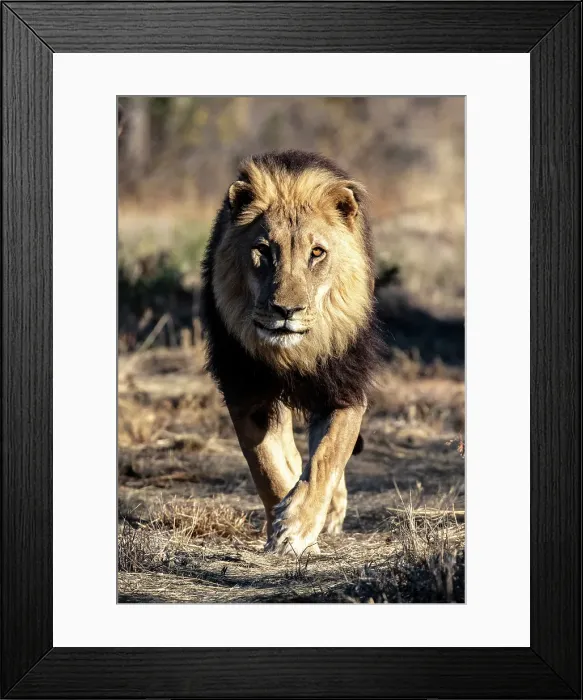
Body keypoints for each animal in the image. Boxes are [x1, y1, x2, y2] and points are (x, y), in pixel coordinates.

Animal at [201, 150, 380, 555]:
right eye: (264, 251)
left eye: (317, 253)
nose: (286, 310)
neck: (293, 354)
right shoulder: (247, 393)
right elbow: (266, 465)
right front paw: (282, 527)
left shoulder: (344, 390)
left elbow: (327, 458)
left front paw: (297, 527)